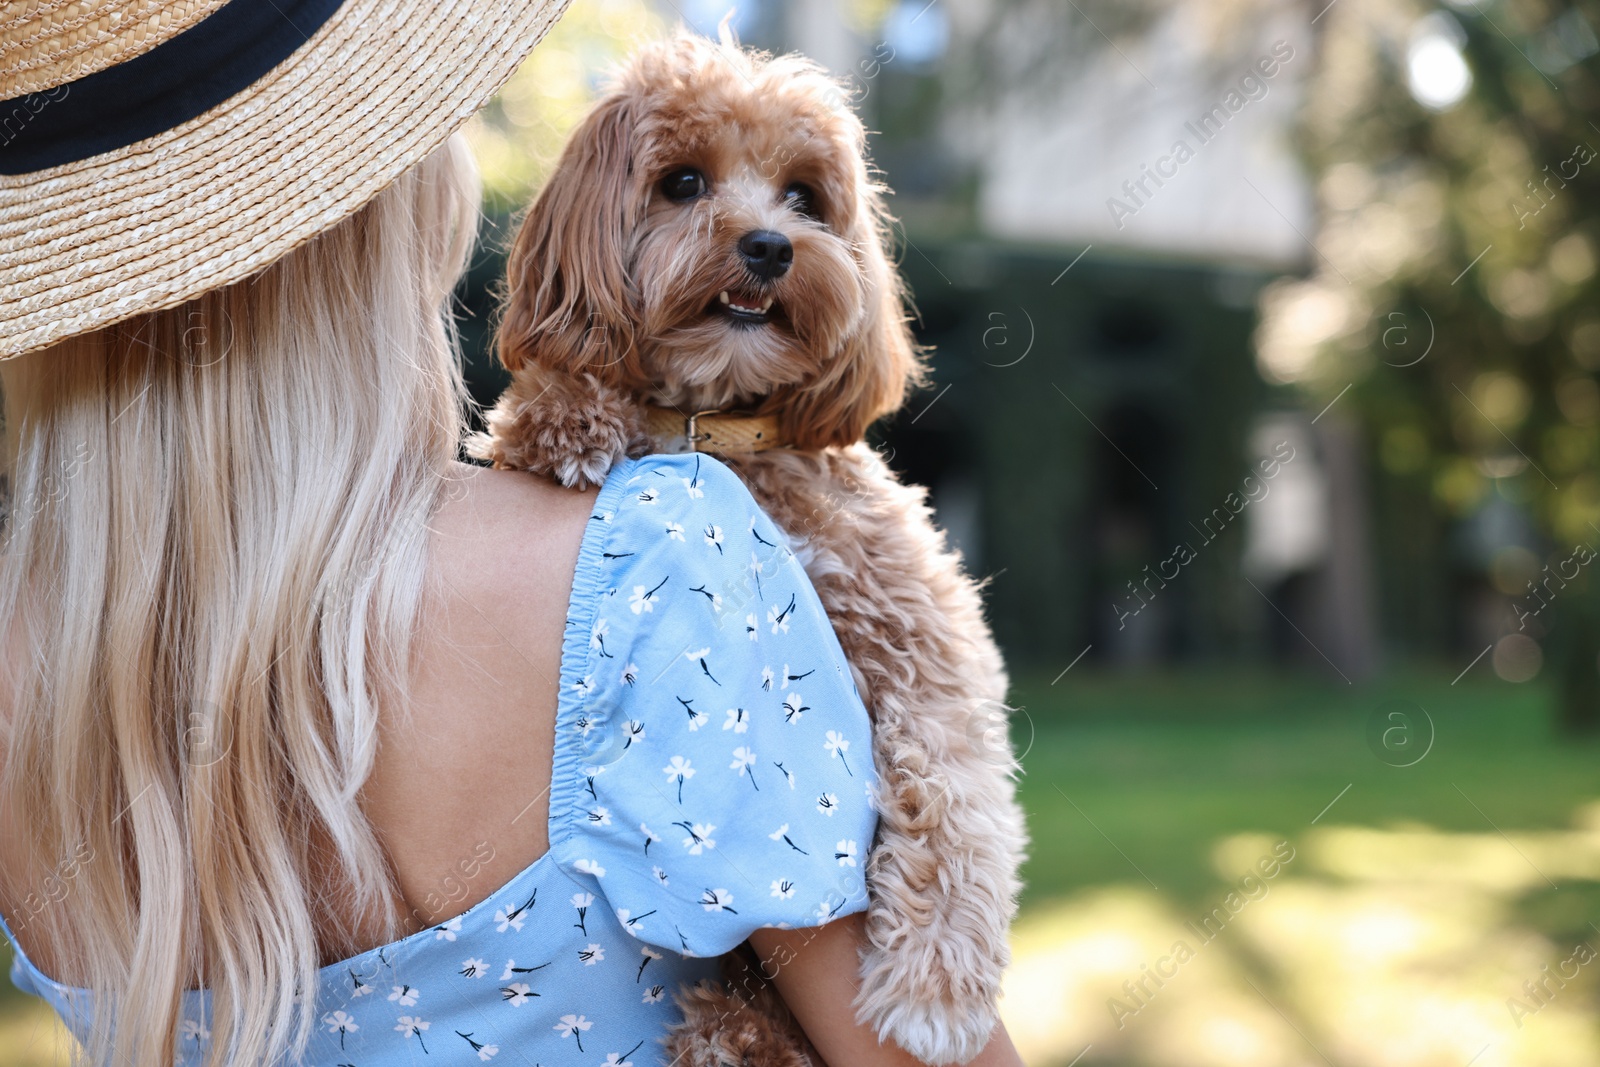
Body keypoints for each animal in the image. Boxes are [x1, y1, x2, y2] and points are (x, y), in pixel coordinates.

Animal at [467, 33, 1030, 1067]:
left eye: (806, 197)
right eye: (683, 181)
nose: (769, 246)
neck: (721, 430)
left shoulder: (929, 644)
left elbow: (954, 791)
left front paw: (933, 983)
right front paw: (561, 418)